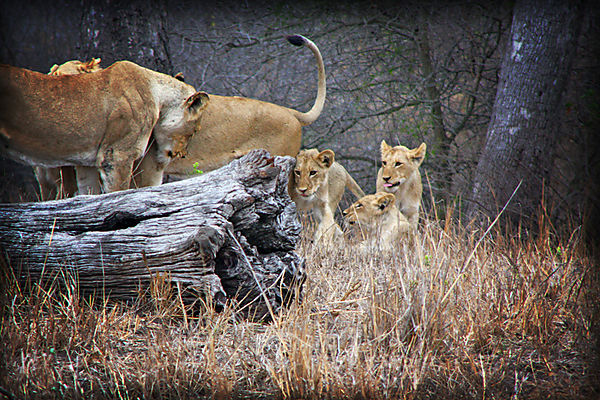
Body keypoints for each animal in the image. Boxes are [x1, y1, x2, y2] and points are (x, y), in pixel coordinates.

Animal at [0, 60, 210, 195]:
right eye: (195, 131)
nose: (181, 154)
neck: (157, 95)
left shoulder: (86, 164)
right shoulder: (117, 155)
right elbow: (117, 194)